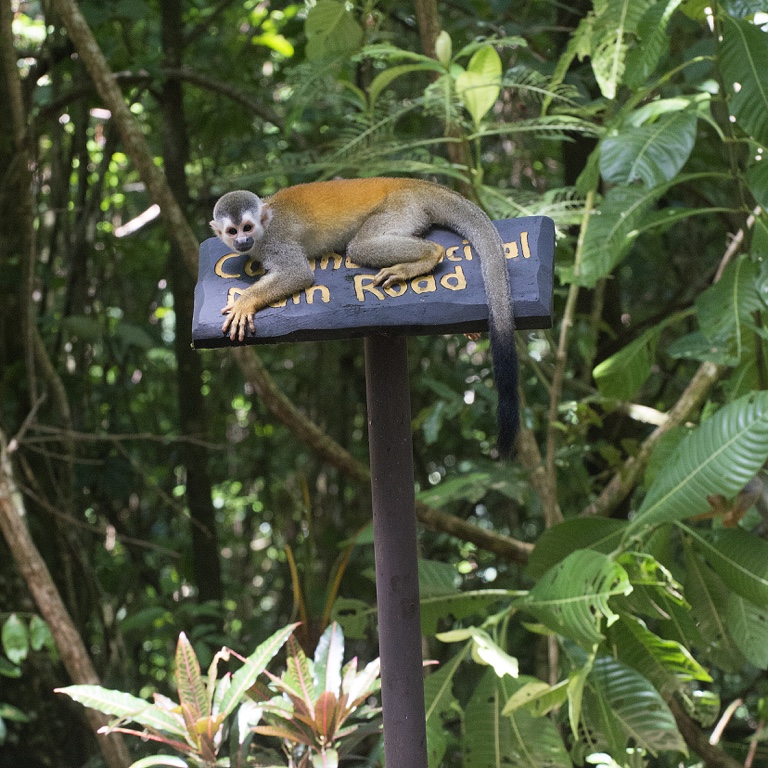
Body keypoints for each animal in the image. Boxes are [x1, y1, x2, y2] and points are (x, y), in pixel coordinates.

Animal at [209, 177, 519, 456]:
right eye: (232, 231)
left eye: (248, 227)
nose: (243, 241)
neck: (264, 227)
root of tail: (410, 182)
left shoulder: (275, 241)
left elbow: (297, 274)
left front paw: (244, 302)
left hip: (400, 209)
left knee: (362, 247)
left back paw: (429, 255)